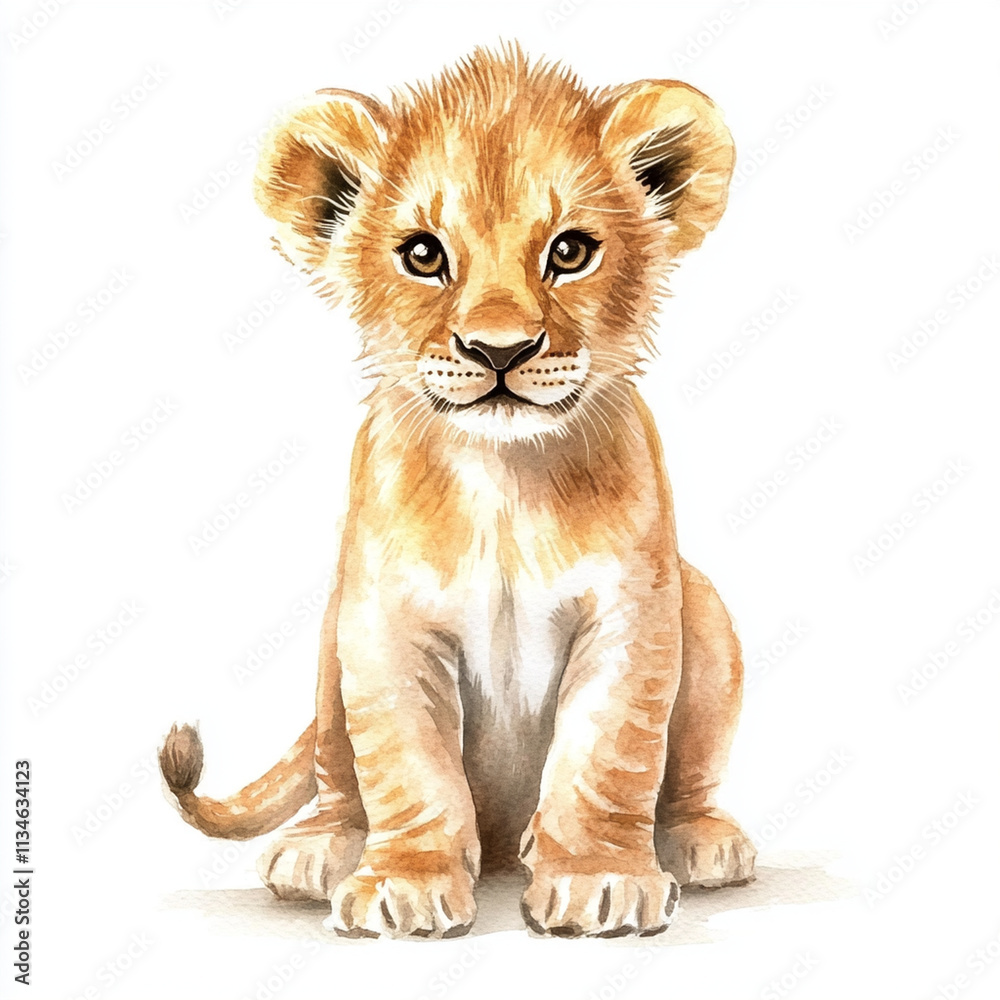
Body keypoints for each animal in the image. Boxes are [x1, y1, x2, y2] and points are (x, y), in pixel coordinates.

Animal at [160, 44, 756, 939]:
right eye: (423, 255)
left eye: (571, 252)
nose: (499, 350)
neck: (502, 480)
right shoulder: (383, 624)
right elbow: (407, 765)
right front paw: (402, 882)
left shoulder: (632, 616)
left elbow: (607, 755)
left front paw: (599, 878)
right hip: (331, 639)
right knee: (337, 770)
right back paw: (318, 849)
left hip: (704, 608)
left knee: (683, 777)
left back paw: (694, 841)